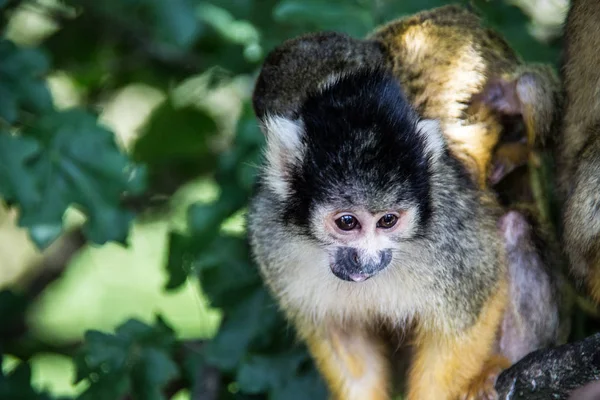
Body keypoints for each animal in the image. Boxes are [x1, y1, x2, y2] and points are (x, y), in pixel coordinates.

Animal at [247, 5, 564, 400]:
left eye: (388, 221)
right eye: (346, 222)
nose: (365, 261)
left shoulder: (449, 229)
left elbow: (474, 302)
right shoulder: (269, 234)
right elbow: (344, 342)